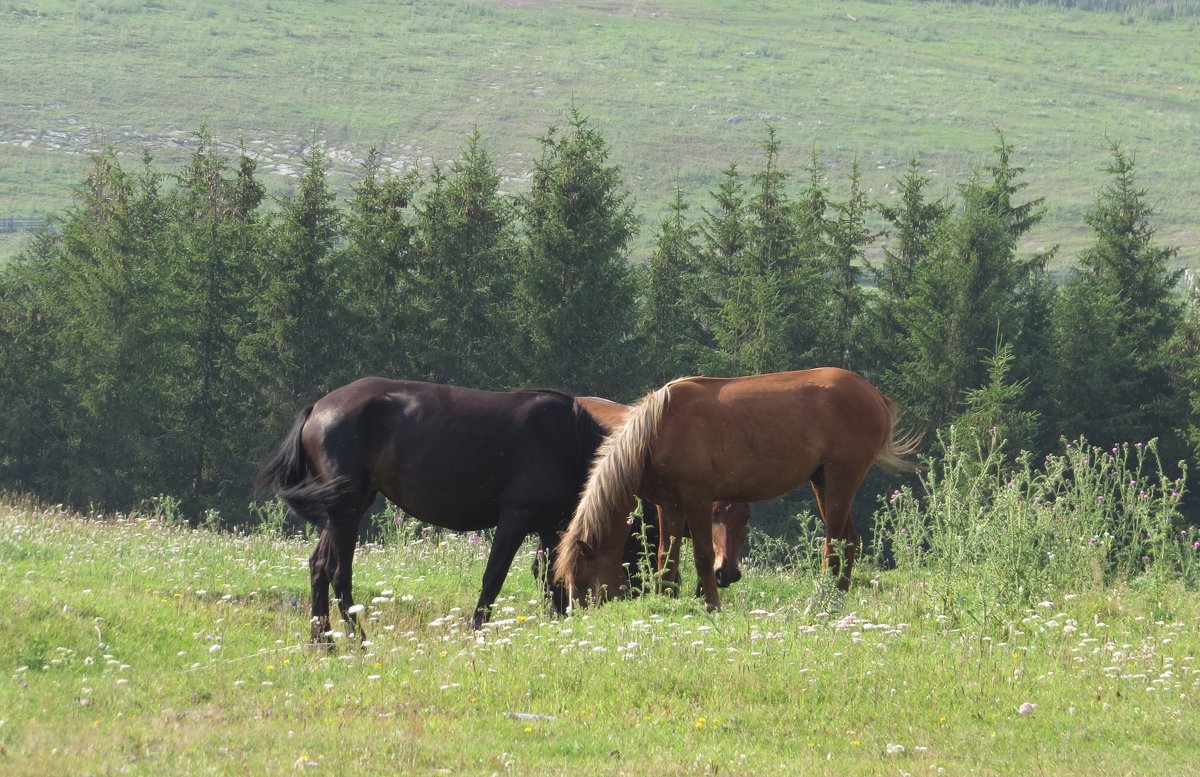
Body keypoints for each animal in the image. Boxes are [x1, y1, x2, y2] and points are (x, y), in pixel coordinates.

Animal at [256, 378, 604, 642]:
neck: (568, 438)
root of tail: (316, 409)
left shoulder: (550, 524)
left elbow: (552, 576)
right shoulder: (517, 516)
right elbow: (494, 576)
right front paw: (476, 631)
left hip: (345, 507)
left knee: (318, 565)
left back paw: (324, 644)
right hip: (346, 509)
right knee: (338, 573)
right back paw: (359, 643)